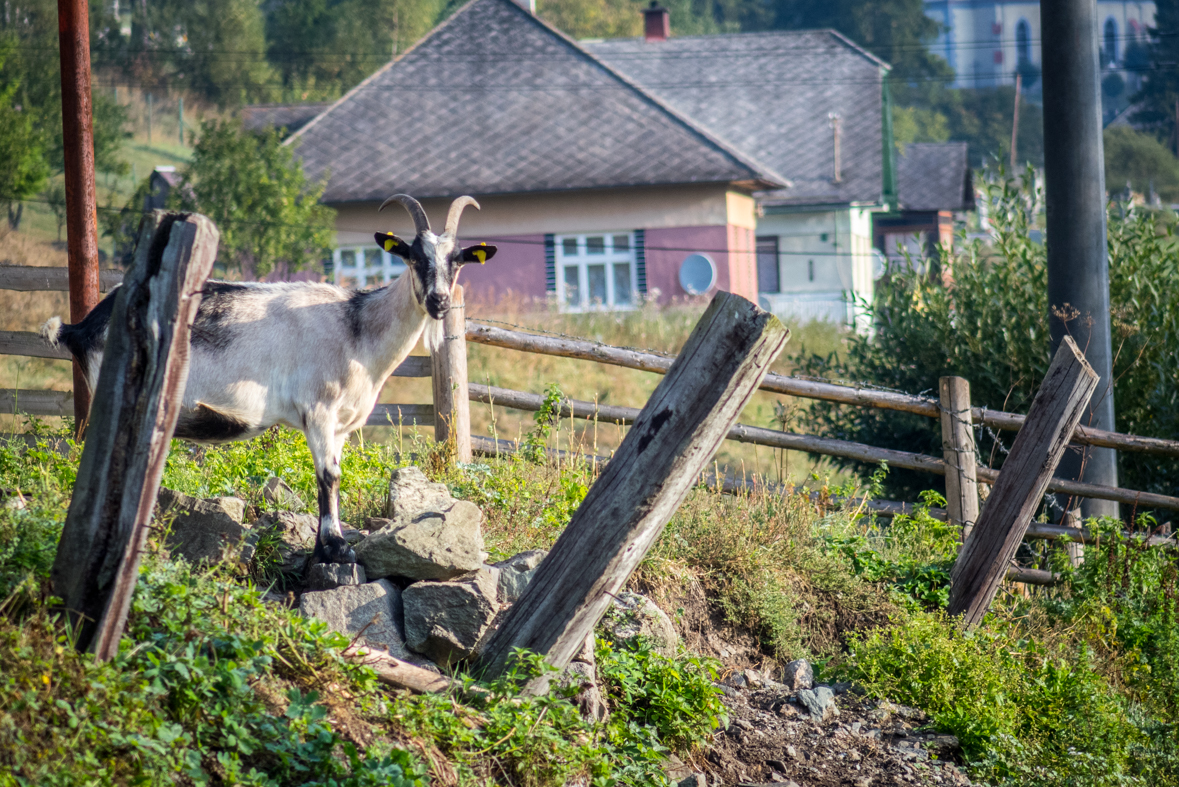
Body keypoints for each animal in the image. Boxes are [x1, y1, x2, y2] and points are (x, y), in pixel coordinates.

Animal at [42, 195, 497, 565]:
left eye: (457, 260)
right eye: (414, 257)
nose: (439, 302)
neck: (357, 328)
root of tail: (80, 328)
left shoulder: (342, 425)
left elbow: (333, 473)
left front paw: (327, 546)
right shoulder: (318, 410)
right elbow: (328, 476)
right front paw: (335, 549)